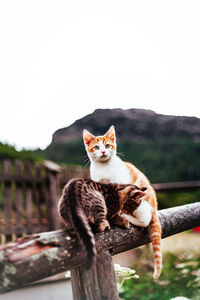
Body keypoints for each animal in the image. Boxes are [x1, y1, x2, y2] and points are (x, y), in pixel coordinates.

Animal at [83, 125, 162, 278]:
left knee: (144, 220)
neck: (104, 168)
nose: (103, 151)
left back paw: (128, 218)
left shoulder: (121, 186)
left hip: (142, 203)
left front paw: (118, 217)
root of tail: (154, 206)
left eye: (108, 145)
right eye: (96, 147)